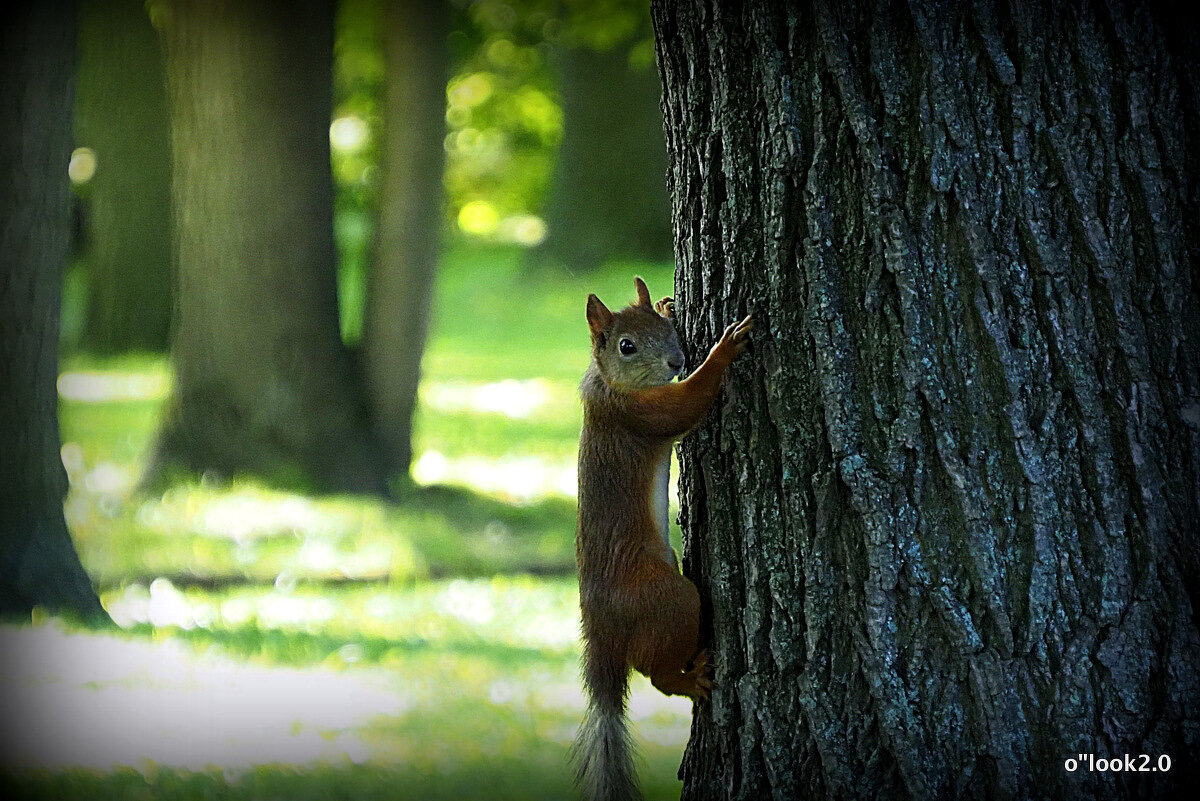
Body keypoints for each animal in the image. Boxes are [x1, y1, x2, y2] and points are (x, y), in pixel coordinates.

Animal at [571, 276, 748, 801]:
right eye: (626, 346)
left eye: (663, 326)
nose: (675, 361)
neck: (610, 385)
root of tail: (602, 629)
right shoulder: (638, 415)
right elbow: (687, 404)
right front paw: (724, 349)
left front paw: (670, 302)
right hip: (668, 600)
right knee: (655, 674)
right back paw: (690, 682)